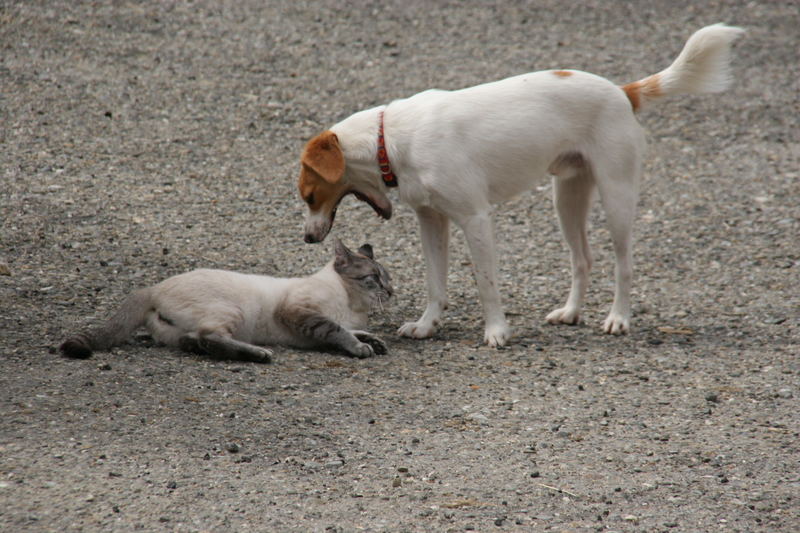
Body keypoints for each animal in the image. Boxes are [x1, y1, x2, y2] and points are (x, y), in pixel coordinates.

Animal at [58, 240, 390, 362]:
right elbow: (338, 330)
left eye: (389, 277)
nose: (390, 291)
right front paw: (361, 347)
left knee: (195, 341)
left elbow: (353, 330)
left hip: (186, 329)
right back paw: (259, 354)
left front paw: (374, 341)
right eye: (374, 277)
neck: (351, 306)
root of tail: (154, 287)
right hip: (232, 311)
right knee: (211, 337)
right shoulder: (300, 313)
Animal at [298, 23, 744, 344]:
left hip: (617, 198)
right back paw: (571, 313)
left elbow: (486, 283)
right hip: (567, 200)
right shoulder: (432, 221)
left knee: (624, 264)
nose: (306, 239)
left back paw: (618, 317)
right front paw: (426, 326)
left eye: (309, 195)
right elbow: (435, 282)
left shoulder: (475, 219)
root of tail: (622, 92)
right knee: (582, 260)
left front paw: (497, 331)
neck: (388, 139)